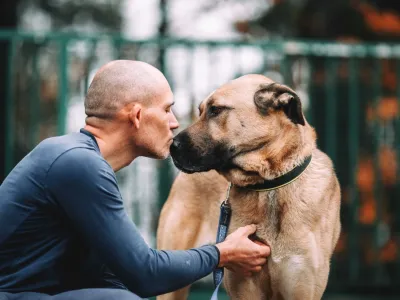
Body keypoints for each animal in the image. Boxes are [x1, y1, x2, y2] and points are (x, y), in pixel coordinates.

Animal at [156, 74, 340, 298]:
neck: (268, 183)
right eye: (200, 111)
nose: (172, 147)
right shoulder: (246, 287)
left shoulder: (302, 286)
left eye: (216, 110)